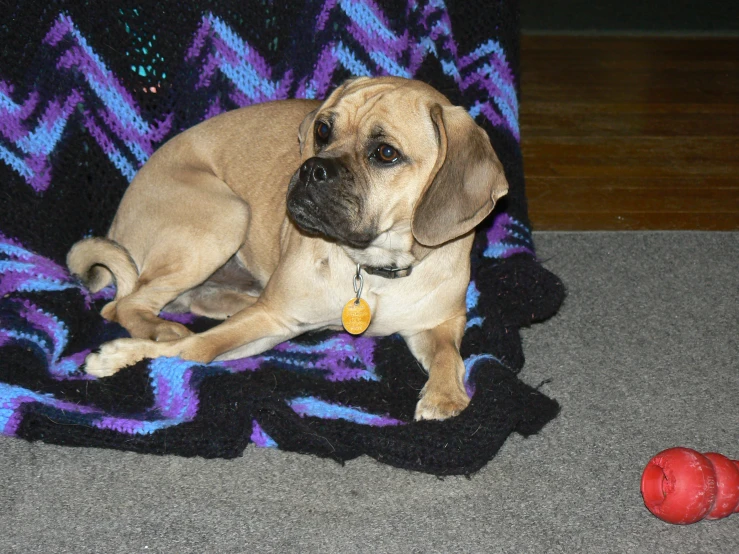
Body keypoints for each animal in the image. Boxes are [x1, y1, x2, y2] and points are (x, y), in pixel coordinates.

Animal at [68, 76, 508, 418]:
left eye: (386, 153)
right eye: (324, 130)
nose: (312, 169)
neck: (374, 269)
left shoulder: (438, 325)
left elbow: (450, 357)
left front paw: (445, 395)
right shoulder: (275, 319)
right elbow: (193, 349)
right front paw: (118, 356)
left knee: (189, 300)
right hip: (227, 216)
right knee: (126, 305)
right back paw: (162, 328)